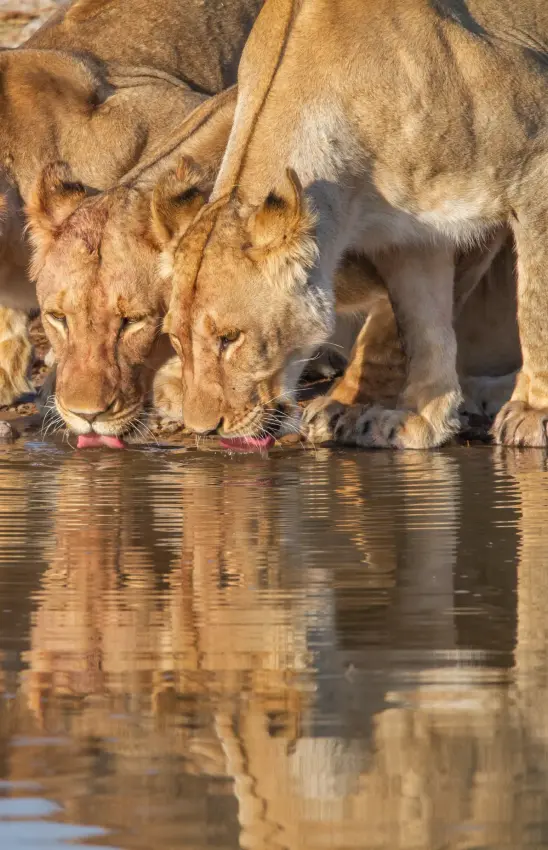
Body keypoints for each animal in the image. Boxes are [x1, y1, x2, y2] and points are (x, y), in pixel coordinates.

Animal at [155, 0, 548, 449]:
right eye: (174, 338)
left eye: (230, 338)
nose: (205, 429)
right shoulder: (411, 235)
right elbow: (420, 325)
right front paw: (419, 417)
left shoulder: (536, 164)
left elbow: (536, 305)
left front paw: (533, 411)